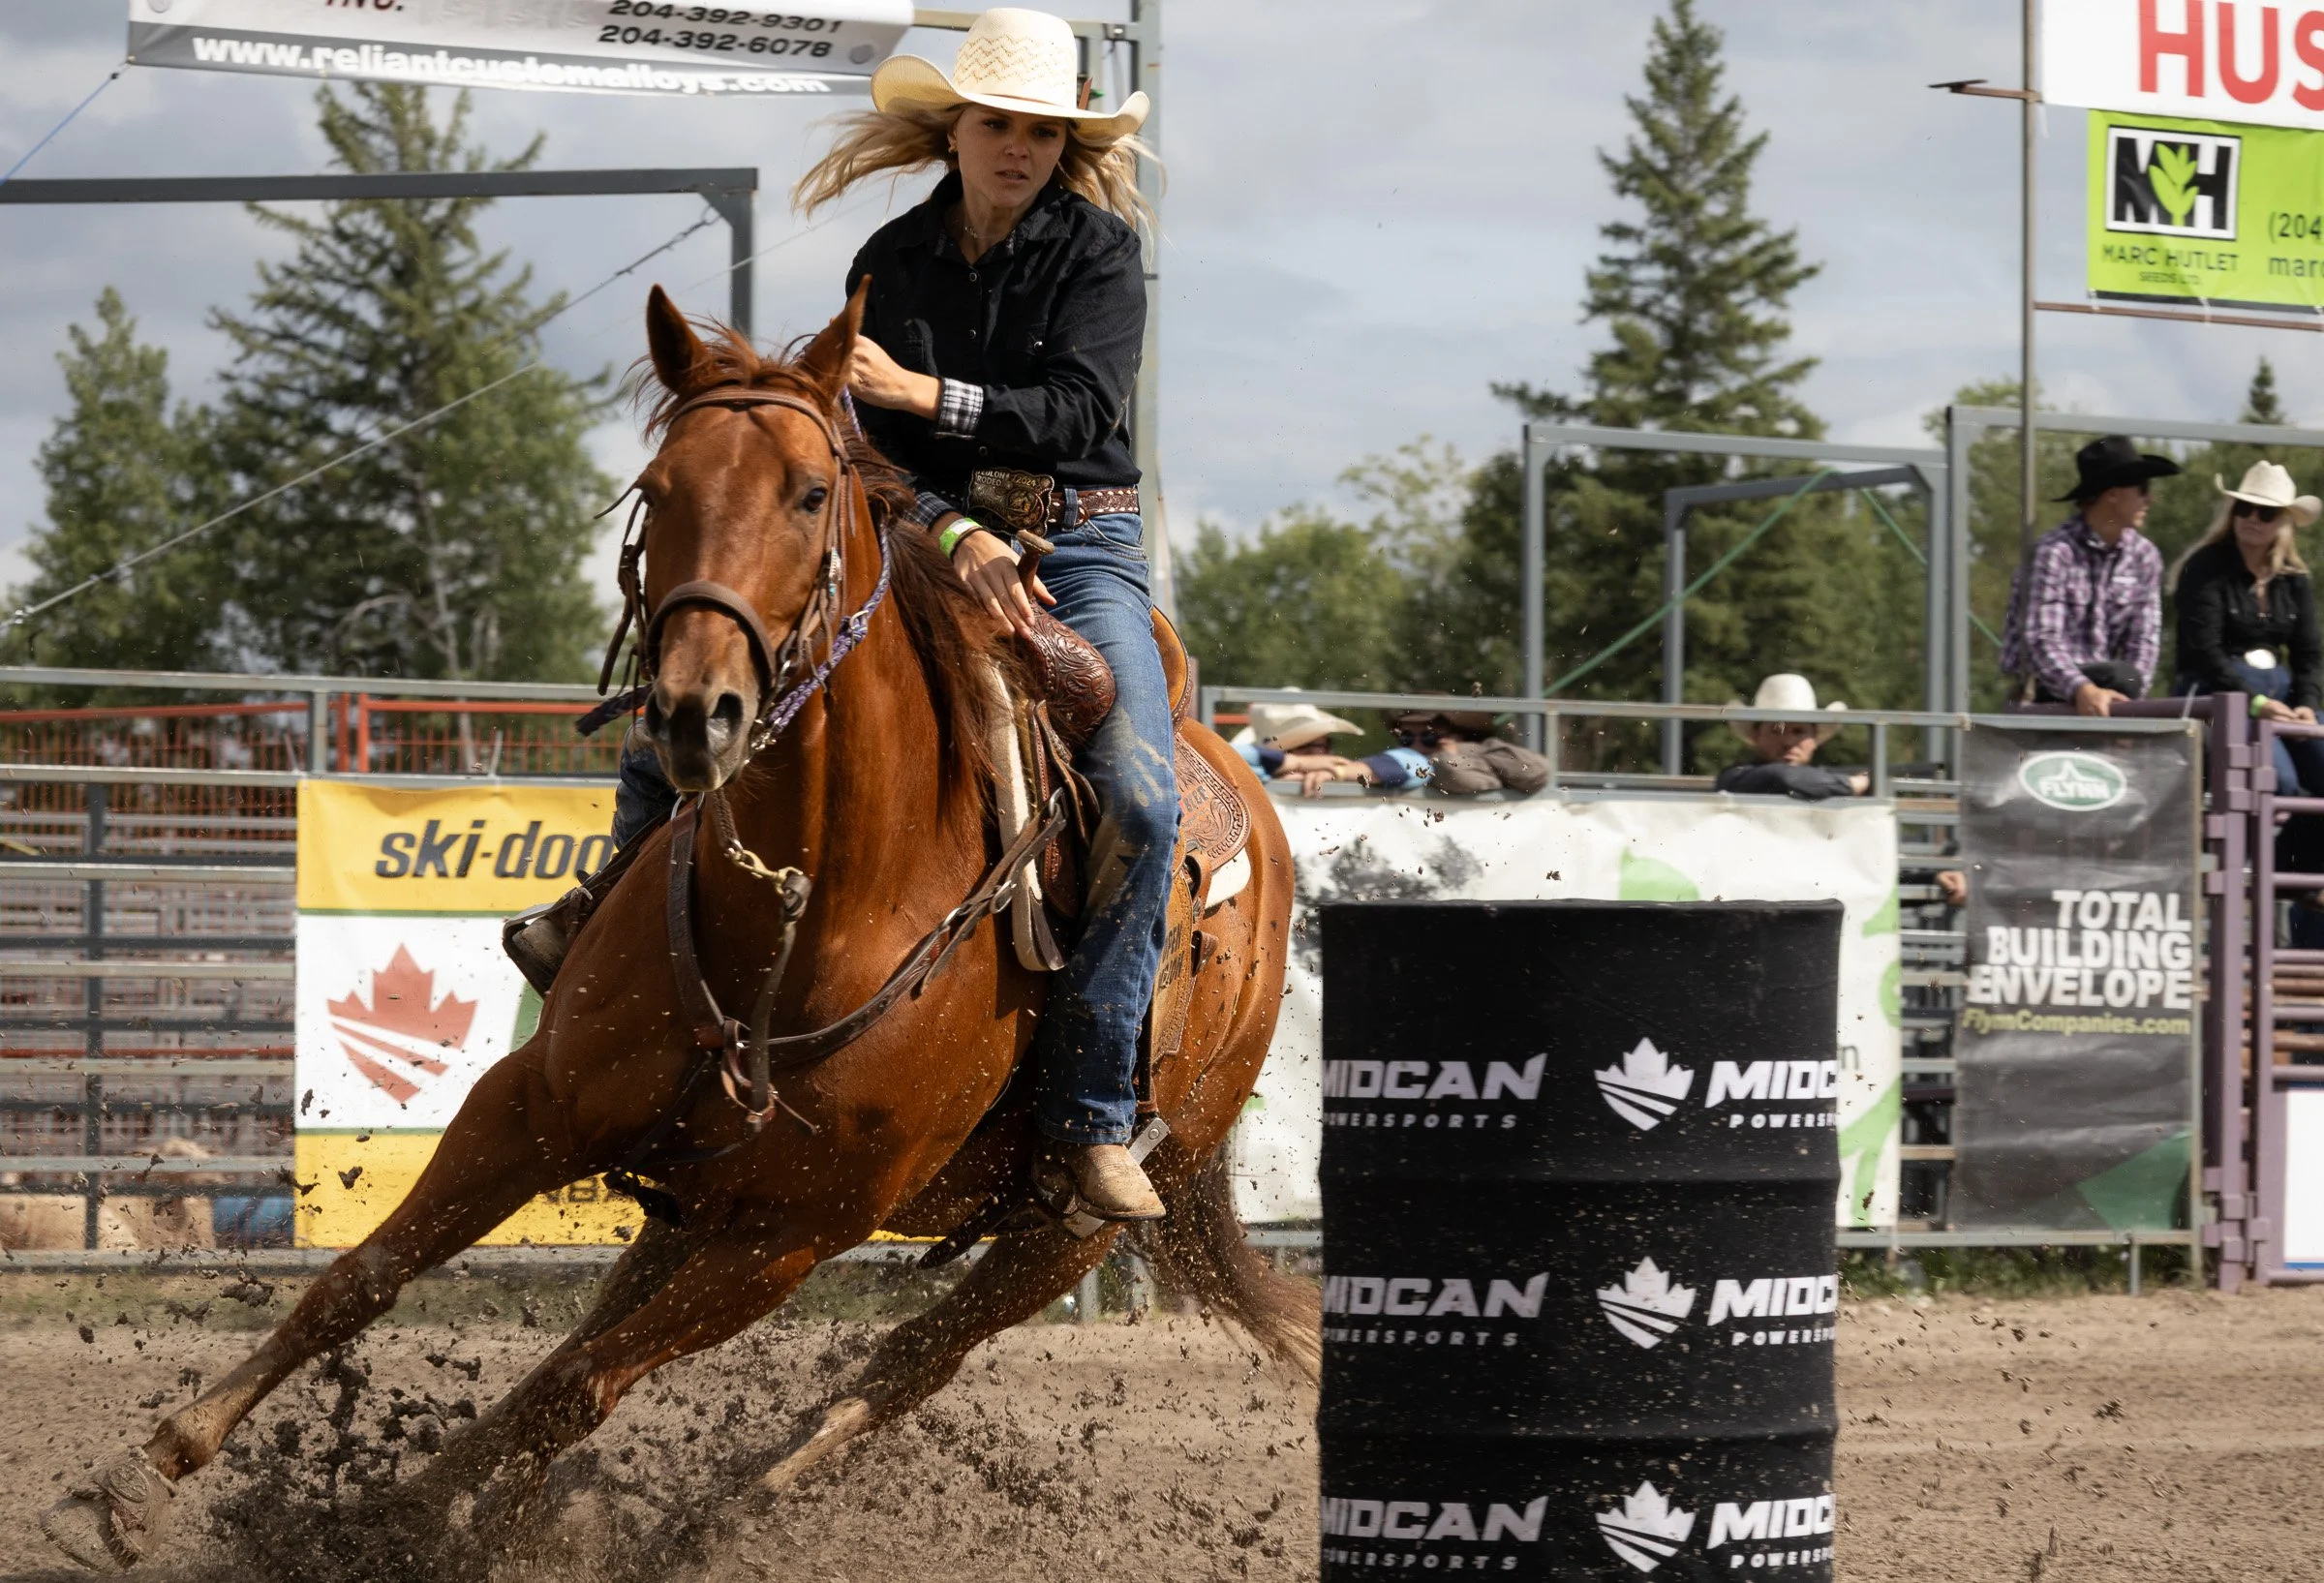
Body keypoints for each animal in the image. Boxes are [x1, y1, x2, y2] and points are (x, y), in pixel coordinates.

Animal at [40, 283, 1313, 1574]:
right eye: (657, 486)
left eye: (808, 493)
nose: (696, 709)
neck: (807, 918)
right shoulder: (536, 1107)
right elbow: (366, 1280)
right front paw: (133, 1484)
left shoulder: (794, 1235)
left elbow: (579, 1390)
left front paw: (473, 1534)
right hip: (694, 1195)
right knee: (606, 1327)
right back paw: (418, 1497)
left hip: (1071, 1229)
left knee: (898, 1366)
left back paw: (721, 1512)